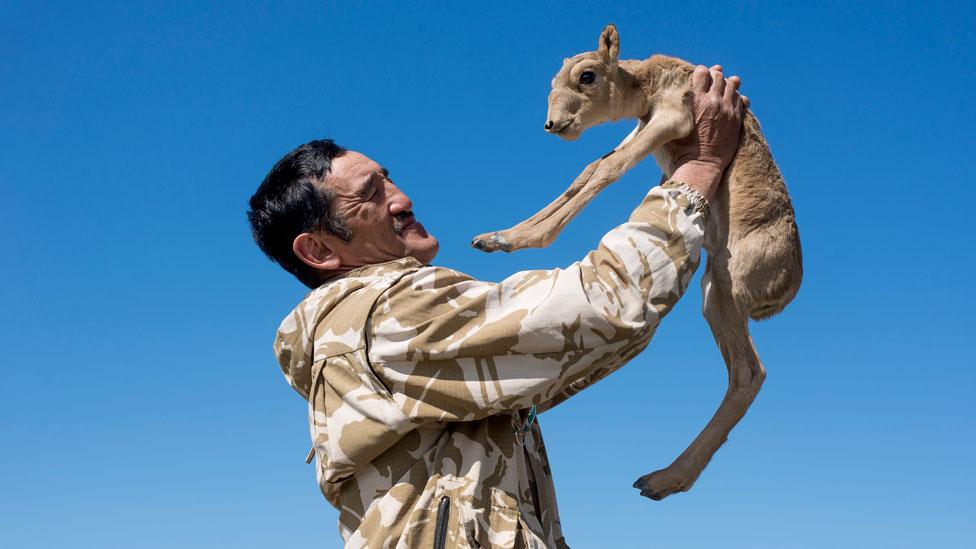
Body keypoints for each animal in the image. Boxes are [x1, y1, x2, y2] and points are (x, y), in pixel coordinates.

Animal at [472, 23, 800, 498]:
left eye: (587, 75)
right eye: (553, 80)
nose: (552, 124)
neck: (649, 79)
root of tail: (790, 285)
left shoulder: (668, 120)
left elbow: (606, 171)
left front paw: (521, 238)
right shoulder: (642, 128)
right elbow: (588, 171)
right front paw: (499, 237)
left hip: (721, 290)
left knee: (749, 373)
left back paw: (664, 478)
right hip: (712, 294)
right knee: (743, 372)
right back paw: (665, 479)